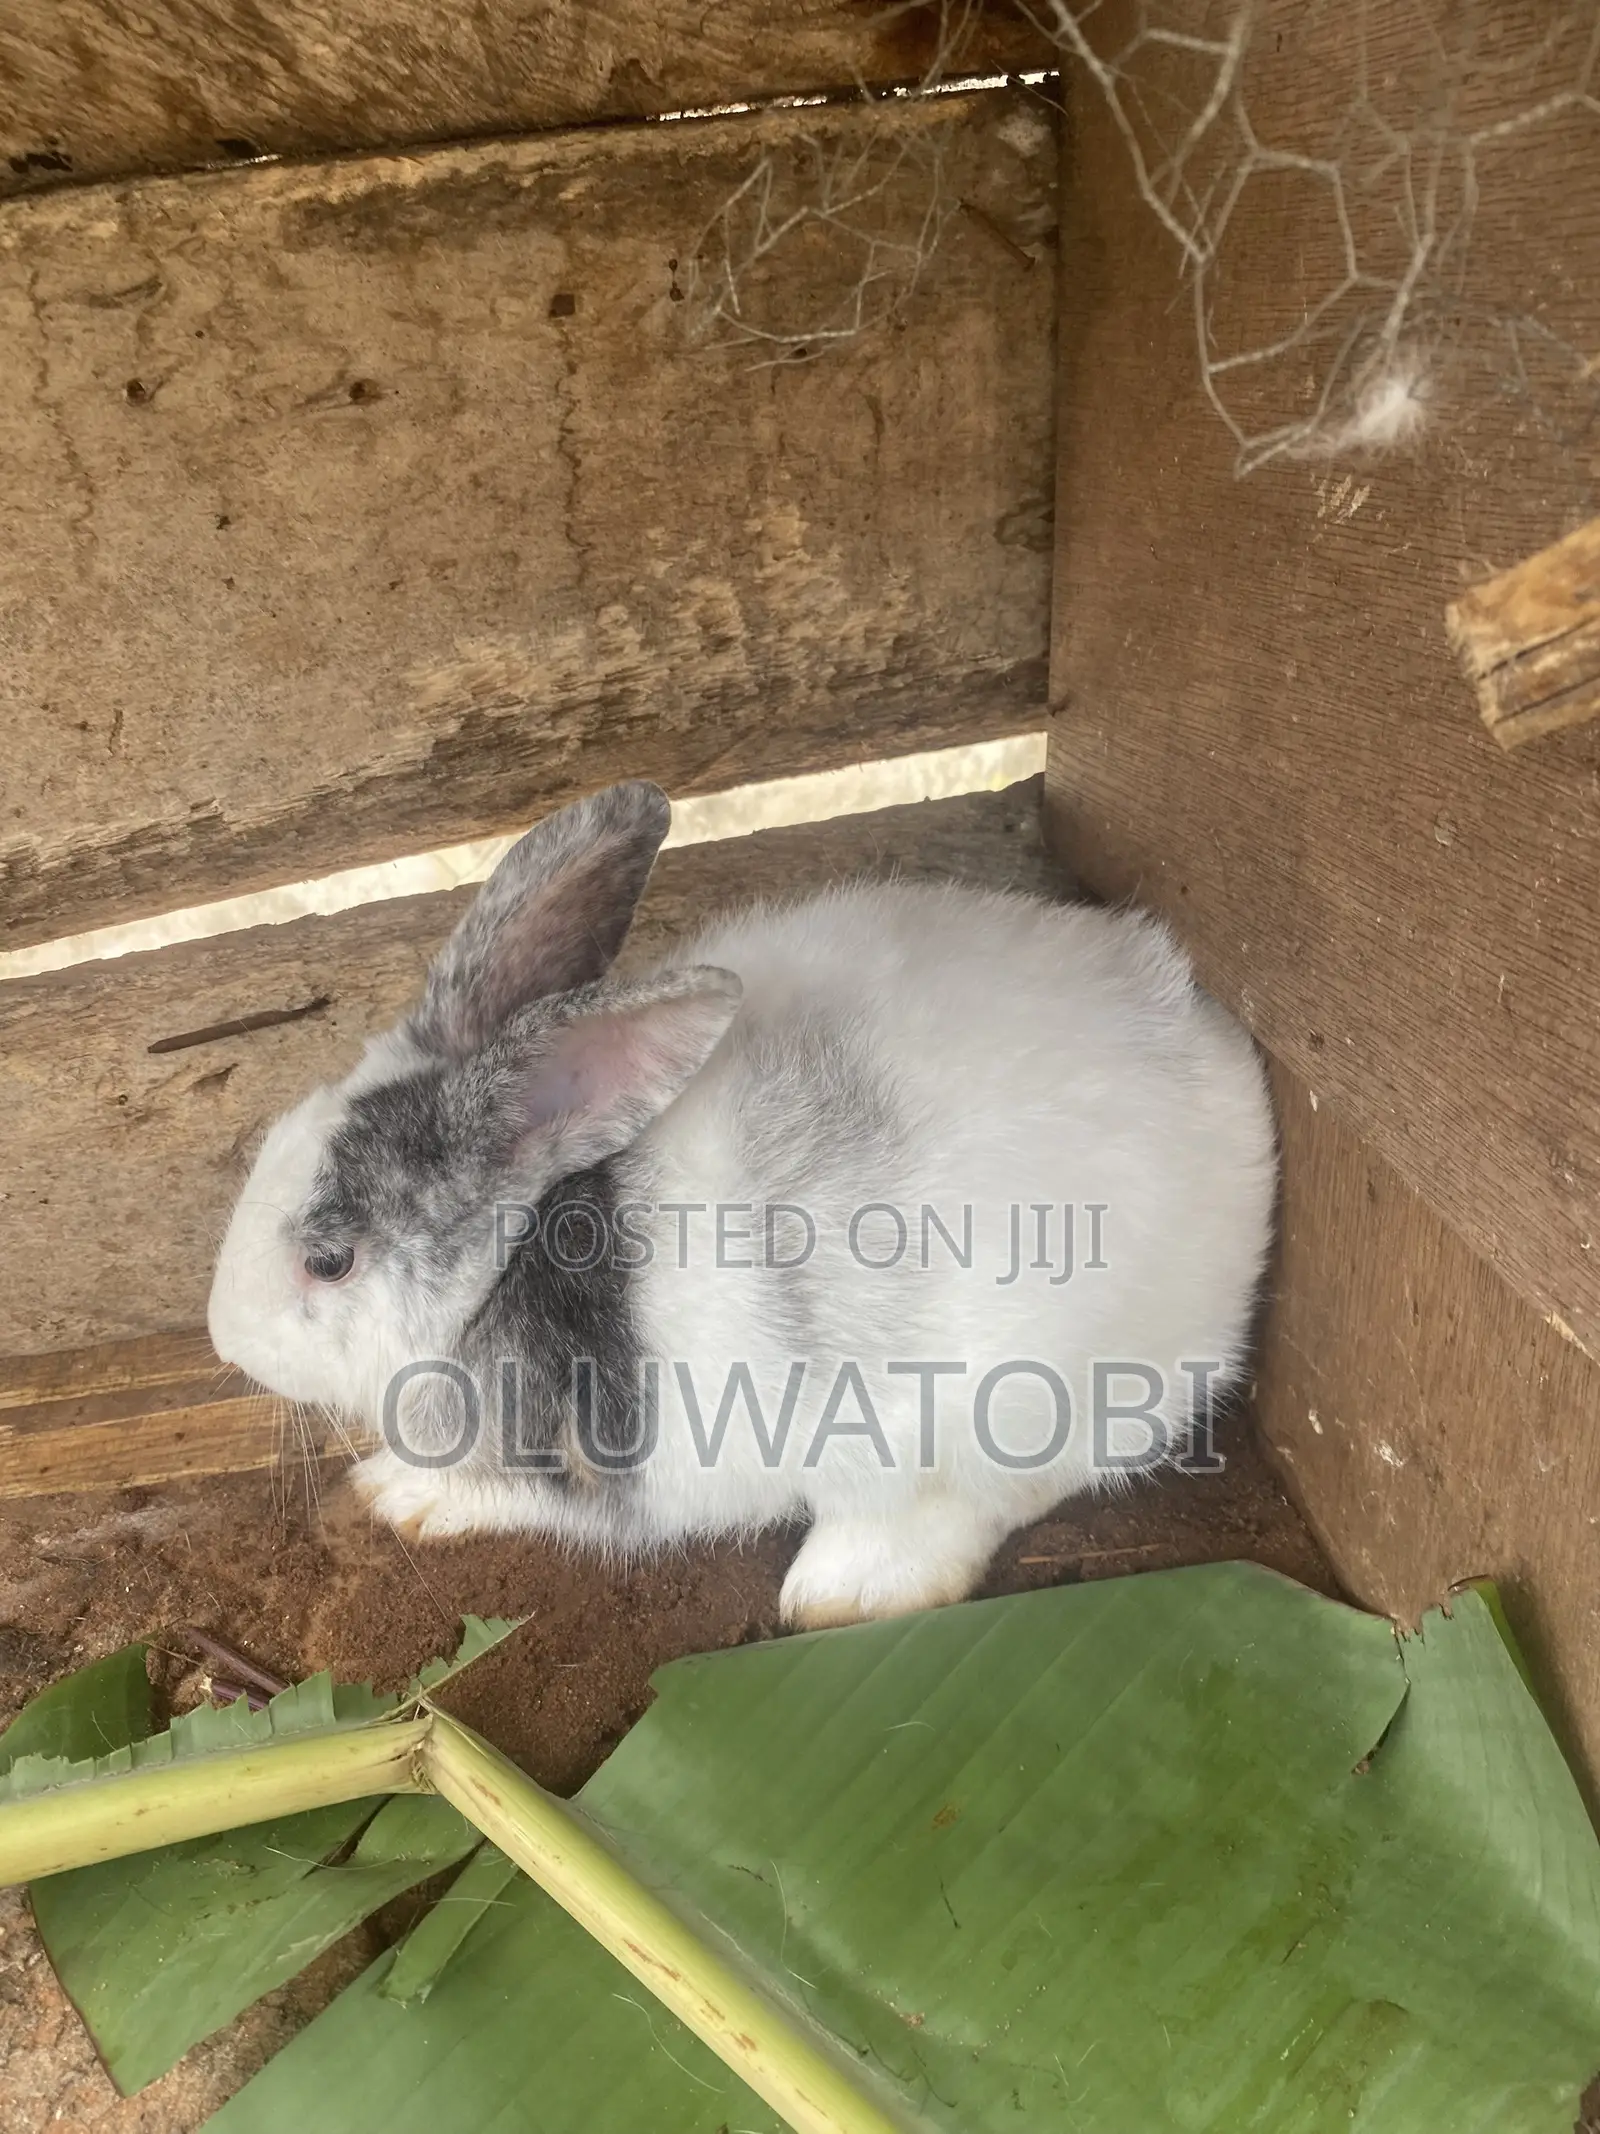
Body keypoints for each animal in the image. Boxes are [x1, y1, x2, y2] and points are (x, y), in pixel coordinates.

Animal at [208, 780, 1277, 1628]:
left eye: (330, 1259)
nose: (225, 1337)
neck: (512, 1255)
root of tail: (1244, 1136)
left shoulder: (588, 1473)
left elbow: (504, 1495)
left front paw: (397, 1496)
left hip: (985, 1425)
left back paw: (839, 1592)